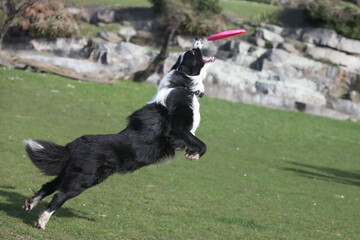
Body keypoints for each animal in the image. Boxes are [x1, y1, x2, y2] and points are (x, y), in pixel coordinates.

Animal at [22, 37, 215, 229]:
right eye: (192, 53)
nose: (198, 39)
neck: (183, 85)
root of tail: (72, 146)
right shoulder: (176, 128)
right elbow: (202, 144)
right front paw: (193, 155)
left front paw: (191, 153)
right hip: (84, 178)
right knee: (59, 195)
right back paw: (42, 221)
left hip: (68, 173)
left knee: (48, 185)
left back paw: (31, 204)